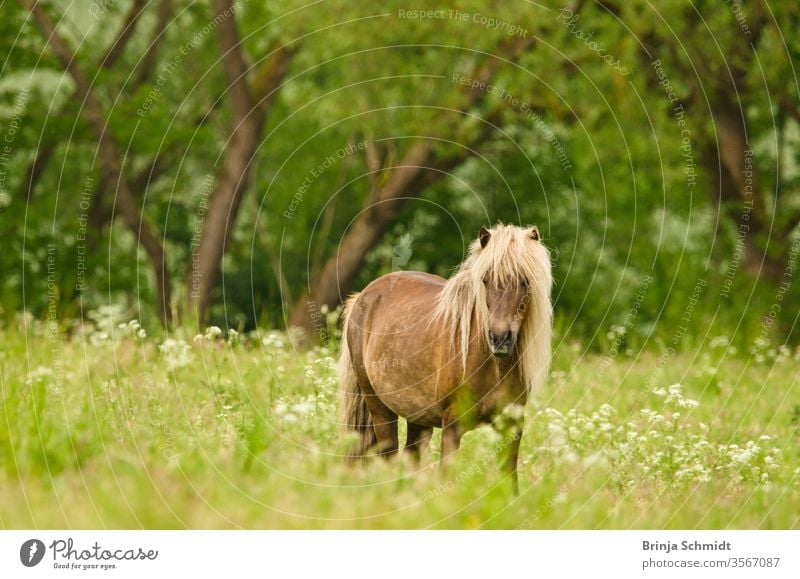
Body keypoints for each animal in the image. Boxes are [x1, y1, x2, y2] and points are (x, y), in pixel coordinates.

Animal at [336, 223, 552, 484]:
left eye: (526, 281)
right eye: (485, 280)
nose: (500, 338)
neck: (491, 366)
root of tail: (363, 296)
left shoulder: (511, 426)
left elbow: (510, 480)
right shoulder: (452, 426)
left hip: (417, 418)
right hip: (380, 409)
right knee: (389, 457)